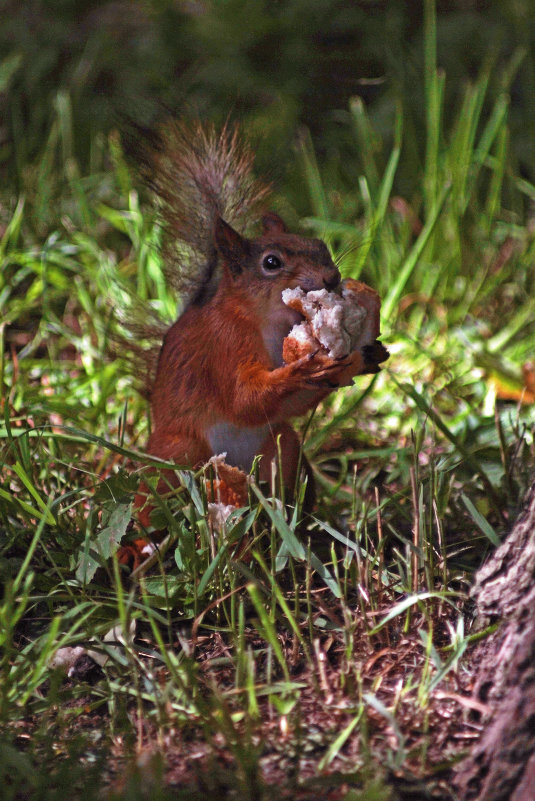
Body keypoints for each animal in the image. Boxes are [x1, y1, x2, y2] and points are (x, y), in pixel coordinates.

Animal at [130, 125, 390, 536]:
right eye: (271, 263)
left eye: (319, 245)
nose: (331, 278)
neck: (265, 320)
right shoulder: (223, 343)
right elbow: (243, 398)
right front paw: (302, 368)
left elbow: (284, 405)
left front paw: (366, 356)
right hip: (180, 451)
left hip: (282, 445)